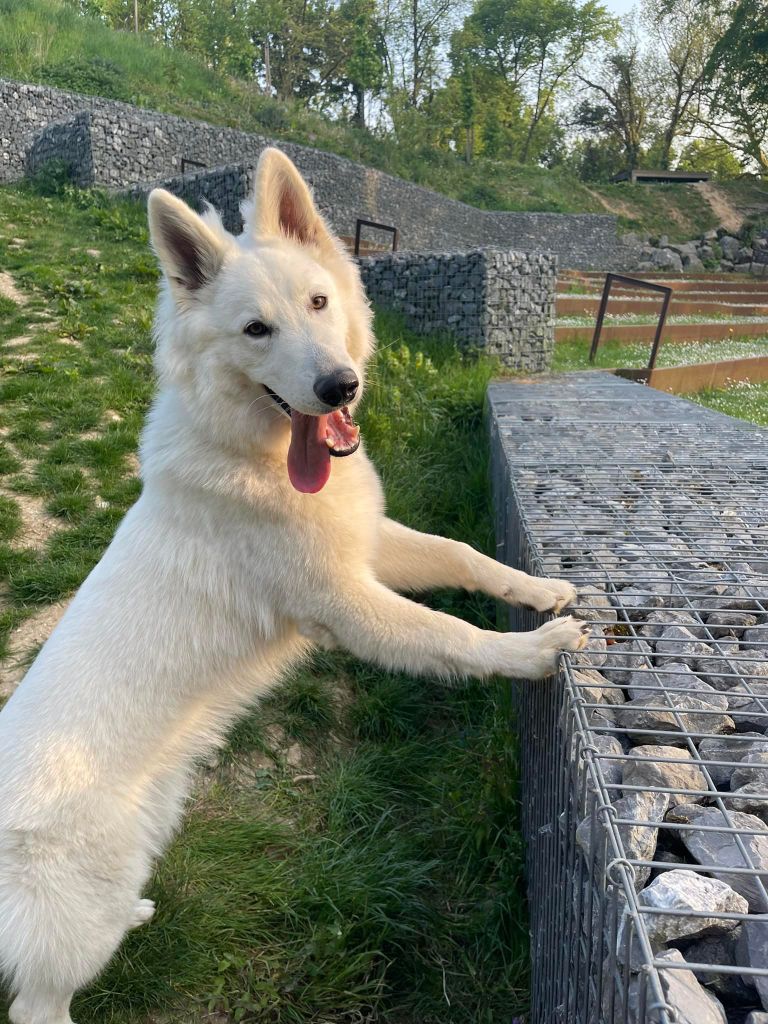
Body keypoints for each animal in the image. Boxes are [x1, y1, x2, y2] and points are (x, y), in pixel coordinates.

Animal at [0, 148, 589, 1019]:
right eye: (256, 330)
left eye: (318, 302)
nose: (341, 387)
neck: (259, 456)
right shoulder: (351, 606)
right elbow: (451, 635)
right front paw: (533, 653)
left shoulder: (371, 548)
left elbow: (461, 555)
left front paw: (538, 589)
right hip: (74, 923)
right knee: (37, 1007)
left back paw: (141, 910)